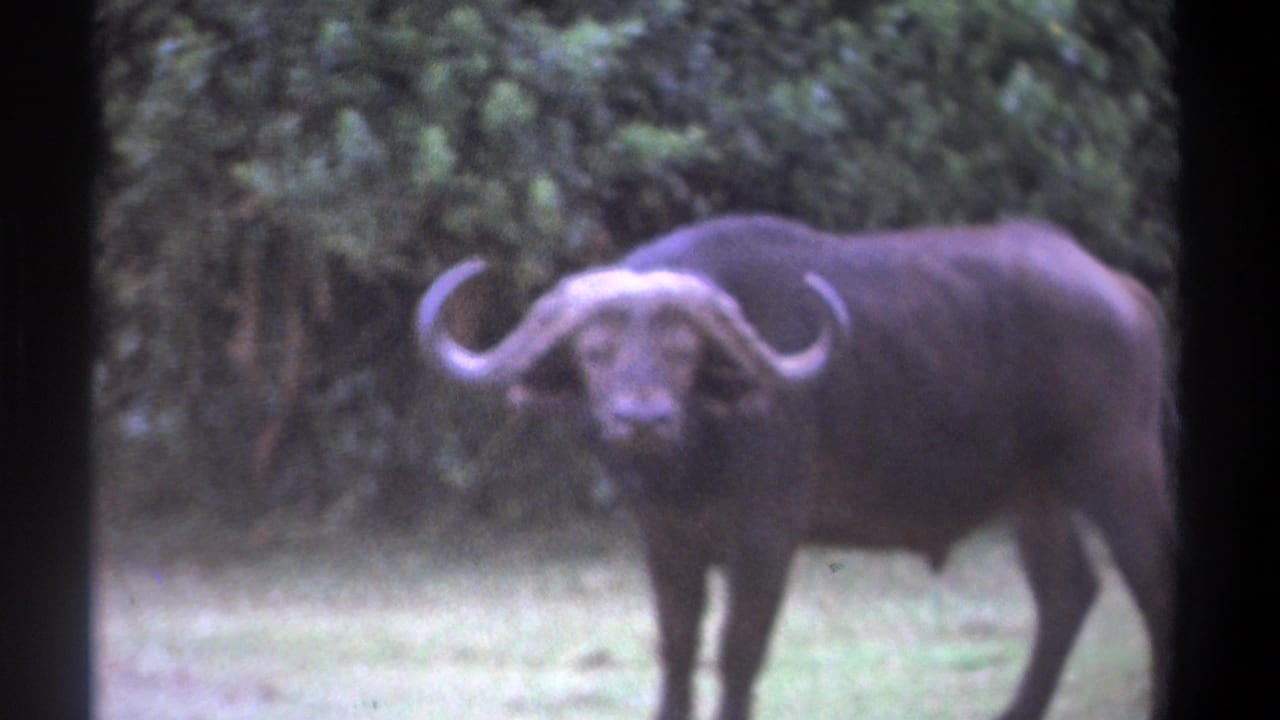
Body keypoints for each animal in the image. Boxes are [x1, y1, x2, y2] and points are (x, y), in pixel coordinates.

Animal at [416, 215, 1174, 720]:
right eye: (594, 351)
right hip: (1035, 494)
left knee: (1151, 583)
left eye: (683, 350)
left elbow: (737, 651)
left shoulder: (766, 538)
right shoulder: (665, 538)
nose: (642, 420)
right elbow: (677, 647)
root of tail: (1122, 290)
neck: (694, 459)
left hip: (1119, 465)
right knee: (1067, 593)